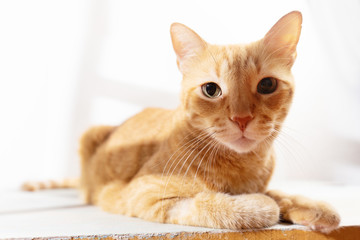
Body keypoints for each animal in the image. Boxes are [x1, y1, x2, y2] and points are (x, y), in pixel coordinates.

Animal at [25, 10, 340, 232]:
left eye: (267, 85)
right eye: (211, 89)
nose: (241, 118)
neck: (241, 168)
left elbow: (281, 193)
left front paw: (306, 205)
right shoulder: (146, 195)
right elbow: (220, 204)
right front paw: (263, 205)